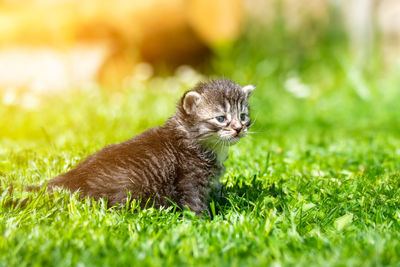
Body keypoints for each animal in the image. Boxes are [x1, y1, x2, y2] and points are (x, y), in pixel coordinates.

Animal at [41, 79, 253, 216]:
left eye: (243, 116)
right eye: (221, 118)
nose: (239, 128)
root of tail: (74, 176)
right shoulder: (189, 179)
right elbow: (194, 203)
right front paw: (205, 221)